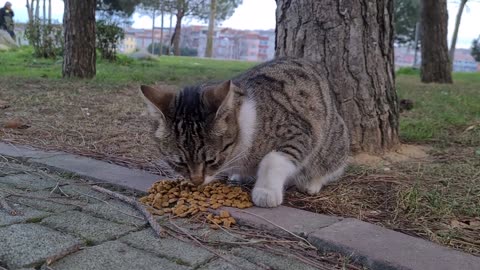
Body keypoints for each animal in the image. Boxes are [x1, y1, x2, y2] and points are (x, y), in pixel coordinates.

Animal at [142, 58, 348, 208]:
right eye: (179, 163)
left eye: (211, 160)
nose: (197, 182)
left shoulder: (299, 131)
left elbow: (273, 159)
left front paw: (266, 192)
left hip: (335, 141)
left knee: (329, 165)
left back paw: (312, 182)